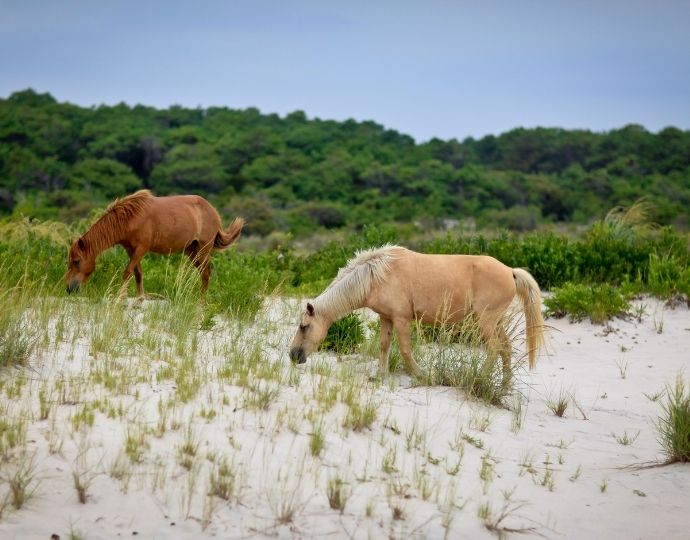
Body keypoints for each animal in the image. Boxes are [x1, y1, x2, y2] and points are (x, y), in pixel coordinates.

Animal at [64, 189, 246, 300]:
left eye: (77, 261)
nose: (69, 289)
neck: (131, 218)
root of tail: (212, 210)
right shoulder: (131, 250)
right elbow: (138, 273)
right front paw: (139, 299)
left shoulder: (141, 249)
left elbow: (127, 272)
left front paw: (121, 297)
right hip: (192, 252)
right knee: (203, 273)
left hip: (203, 250)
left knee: (206, 274)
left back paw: (201, 302)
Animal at [288, 246, 544, 378]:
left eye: (304, 326)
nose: (293, 355)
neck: (377, 275)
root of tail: (510, 271)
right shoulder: (386, 318)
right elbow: (384, 346)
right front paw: (380, 375)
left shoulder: (402, 319)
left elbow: (405, 350)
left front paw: (421, 375)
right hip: (495, 321)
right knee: (505, 348)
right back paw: (505, 385)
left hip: (486, 321)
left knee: (494, 349)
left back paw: (481, 377)